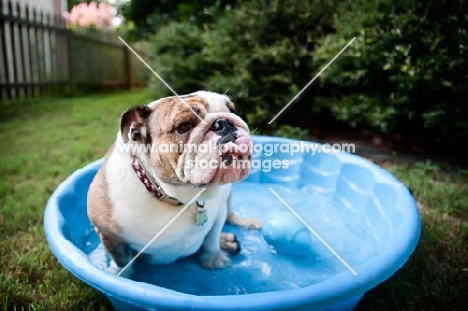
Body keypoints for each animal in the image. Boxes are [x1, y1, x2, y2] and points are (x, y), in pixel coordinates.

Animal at [86, 91, 262, 278]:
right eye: (184, 126)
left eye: (233, 111)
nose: (224, 122)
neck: (181, 197)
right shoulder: (110, 235)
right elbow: (121, 262)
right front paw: (120, 276)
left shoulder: (219, 211)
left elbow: (212, 239)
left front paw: (213, 260)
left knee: (231, 216)